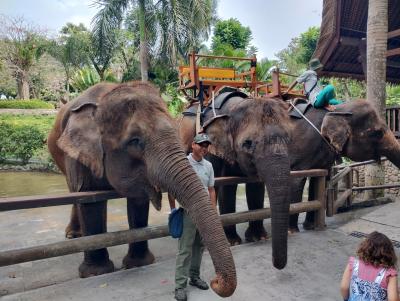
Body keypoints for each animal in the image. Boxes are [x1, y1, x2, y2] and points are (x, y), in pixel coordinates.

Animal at [48, 81, 238, 296]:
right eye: (135, 141)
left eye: (176, 132)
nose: (215, 282)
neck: (105, 97)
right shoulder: (80, 157)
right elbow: (90, 200)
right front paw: (97, 272)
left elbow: (138, 201)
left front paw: (138, 263)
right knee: (75, 192)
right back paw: (73, 235)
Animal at [180, 95, 292, 268]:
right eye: (248, 143)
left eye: (289, 139)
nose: (276, 264)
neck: (235, 106)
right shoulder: (213, 150)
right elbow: (225, 187)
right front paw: (232, 242)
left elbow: (255, 186)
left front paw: (258, 237)